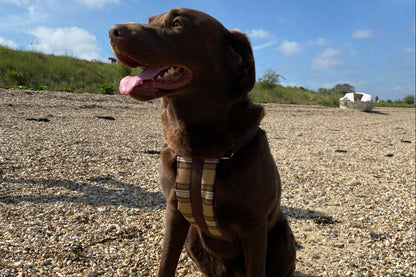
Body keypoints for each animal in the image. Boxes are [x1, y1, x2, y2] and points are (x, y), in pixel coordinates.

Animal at [109, 8, 294, 276]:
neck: (199, 152)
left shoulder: (254, 226)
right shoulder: (174, 211)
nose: (112, 31)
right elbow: (166, 263)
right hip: (193, 238)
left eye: (177, 24)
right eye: (150, 20)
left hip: (282, 238)